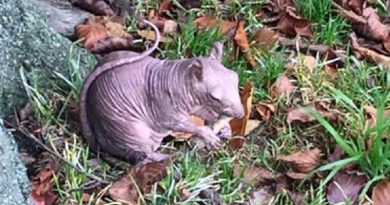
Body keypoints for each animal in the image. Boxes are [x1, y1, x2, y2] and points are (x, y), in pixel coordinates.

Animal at [79, 18, 244, 164]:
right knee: (143, 156)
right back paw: (168, 157)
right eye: (215, 97)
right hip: (131, 133)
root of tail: (96, 142)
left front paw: (224, 127)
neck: (180, 77)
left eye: (236, 77)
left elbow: (204, 113)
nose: (241, 113)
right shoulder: (164, 105)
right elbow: (178, 123)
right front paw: (207, 134)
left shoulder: (196, 103)